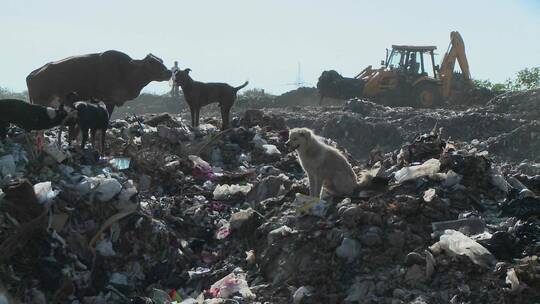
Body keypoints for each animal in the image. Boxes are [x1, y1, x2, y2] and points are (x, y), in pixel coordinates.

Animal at [25, 50, 171, 114]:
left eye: (161, 60)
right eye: (151, 62)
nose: (169, 72)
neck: (125, 71)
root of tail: (32, 75)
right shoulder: (109, 100)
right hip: (41, 101)